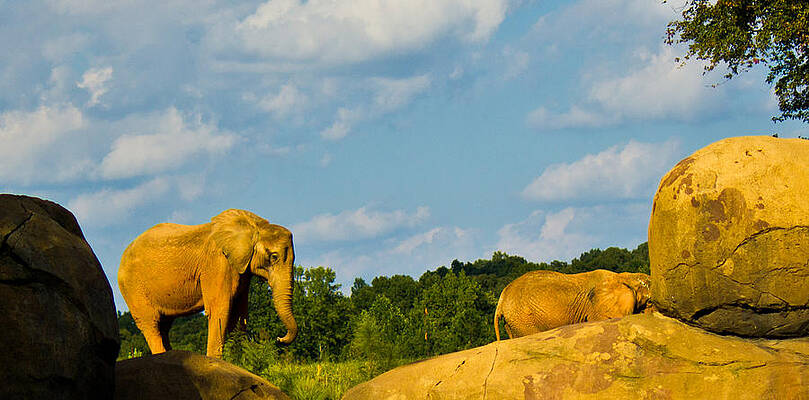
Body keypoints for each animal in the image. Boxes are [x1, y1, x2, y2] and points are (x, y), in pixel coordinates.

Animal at [118, 209, 297, 358]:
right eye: (273, 256)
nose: (279, 339)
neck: (256, 225)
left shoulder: (241, 270)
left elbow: (240, 314)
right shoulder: (216, 264)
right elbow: (220, 309)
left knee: (164, 325)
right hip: (133, 288)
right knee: (151, 324)